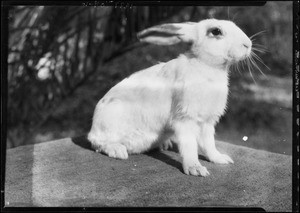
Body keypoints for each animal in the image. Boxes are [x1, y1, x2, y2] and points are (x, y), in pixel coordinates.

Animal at [88, 18, 252, 176]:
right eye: (216, 31)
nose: (248, 44)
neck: (207, 66)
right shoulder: (185, 119)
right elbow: (190, 146)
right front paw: (195, 169)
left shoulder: (207, 122)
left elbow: (209, 144)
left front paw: (221, 159)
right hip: (109, 119)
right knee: (97, 143)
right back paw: (118, 150)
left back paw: (164, 144)